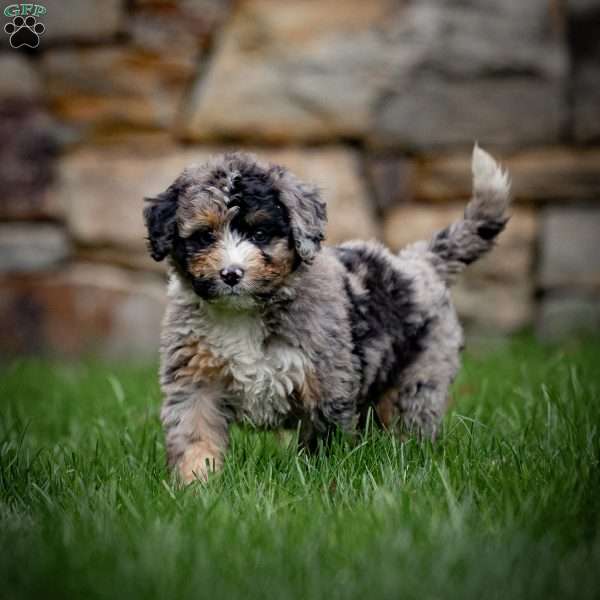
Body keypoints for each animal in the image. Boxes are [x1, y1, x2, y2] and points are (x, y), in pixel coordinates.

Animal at [144, 144, 510, 482]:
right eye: (205, 236)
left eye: (259, 234)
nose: (231, 274)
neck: (244, 314)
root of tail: (418, 262)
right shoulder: (194, 382)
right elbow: (195, 436)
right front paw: (197, 485)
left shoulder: (328, 385)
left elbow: (322, 443)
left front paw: (317, 480)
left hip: (420, 378)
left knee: (410, 423)